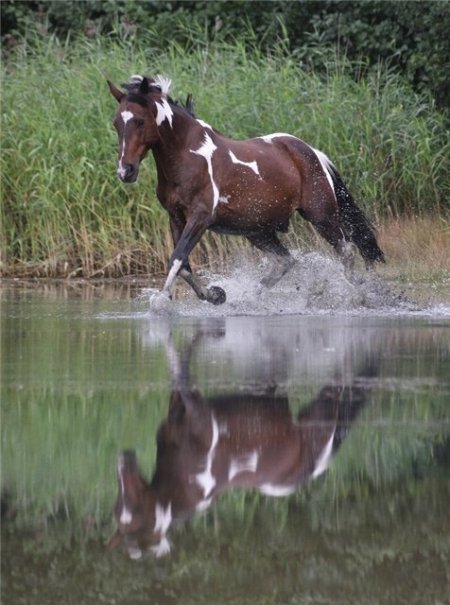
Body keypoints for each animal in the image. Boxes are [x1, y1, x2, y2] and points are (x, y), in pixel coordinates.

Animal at [108, 73, 384, 304]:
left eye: (140, 121)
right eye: (116, 123)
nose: (126, 171)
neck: (187, 155)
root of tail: (313, 153)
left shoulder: (200, 217)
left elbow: (176, 258)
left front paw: (162, 302)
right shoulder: (176, 217)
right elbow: (183, 264)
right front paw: (215, 294)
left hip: (321, 216)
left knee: (346, 251)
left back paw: (357, 295)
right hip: (256, 229)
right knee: (284, 261)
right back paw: (250, 298)